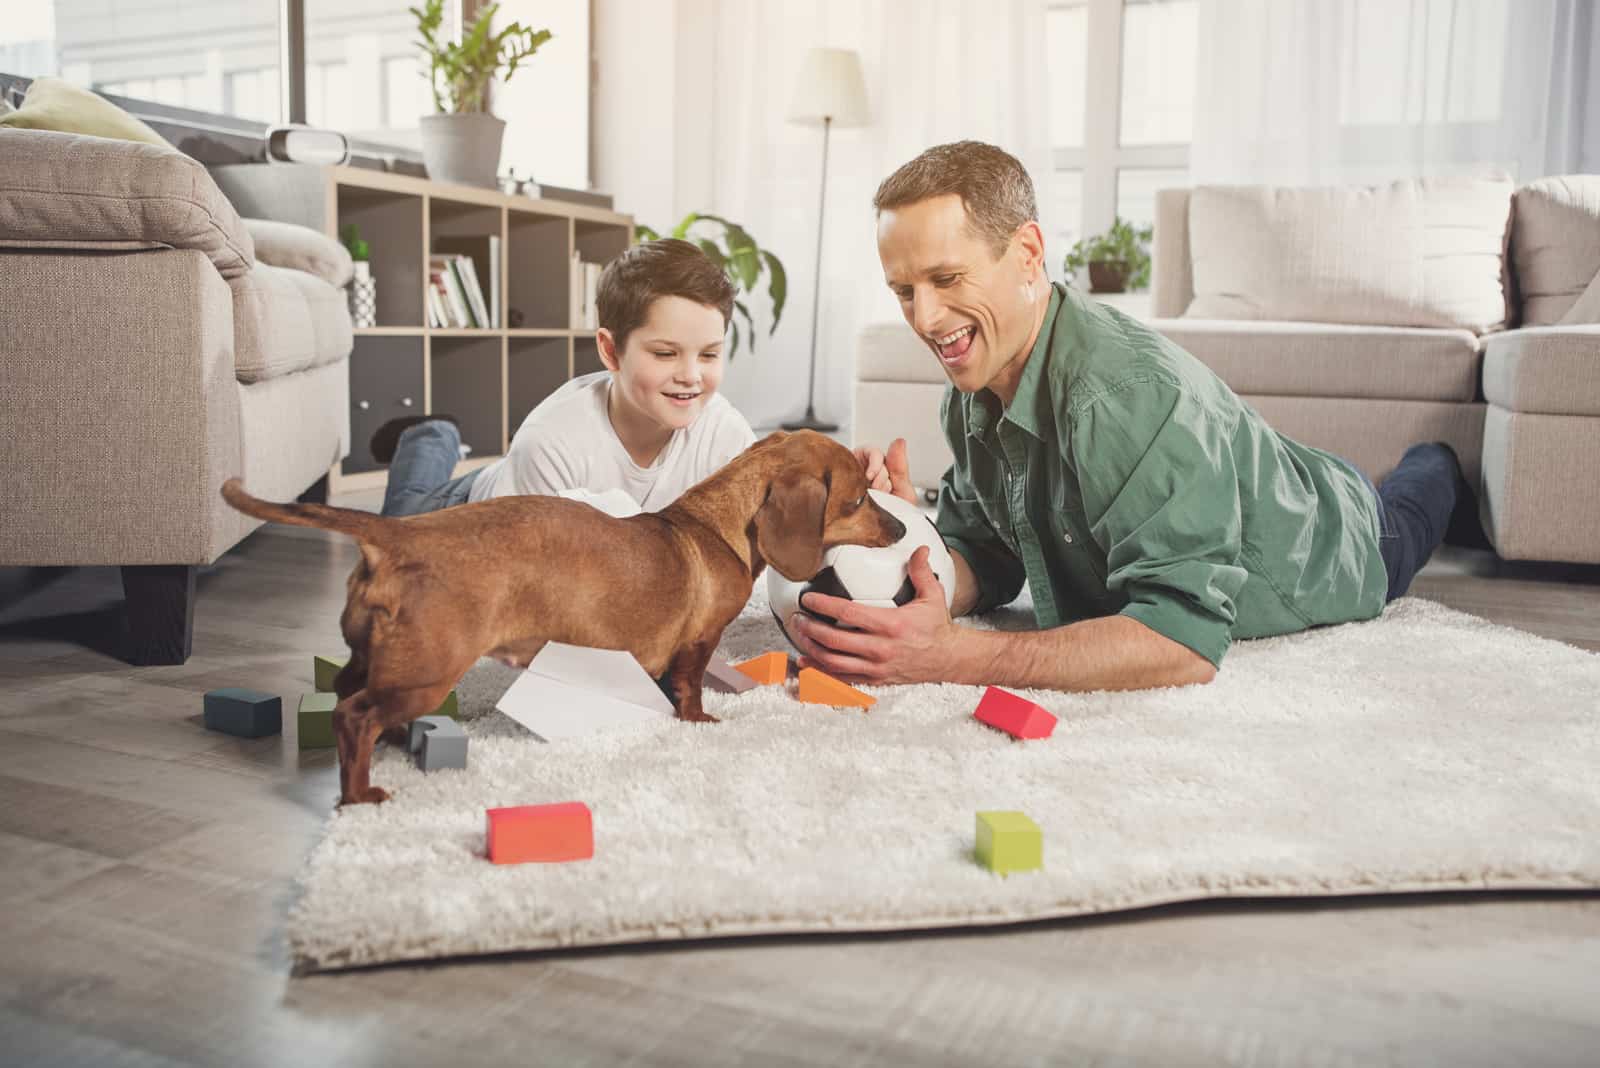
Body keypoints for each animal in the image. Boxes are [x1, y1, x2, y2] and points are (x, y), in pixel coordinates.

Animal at [219, 428, 908, 805]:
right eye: (857, 500)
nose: (903, 527)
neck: (714, 523)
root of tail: (397, 535)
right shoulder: (699, 640)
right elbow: (688, 686)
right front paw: (698, 721)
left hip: (376, 659)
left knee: (345, 694)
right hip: (428, 672)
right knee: (352, 716)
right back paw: (359, 794)